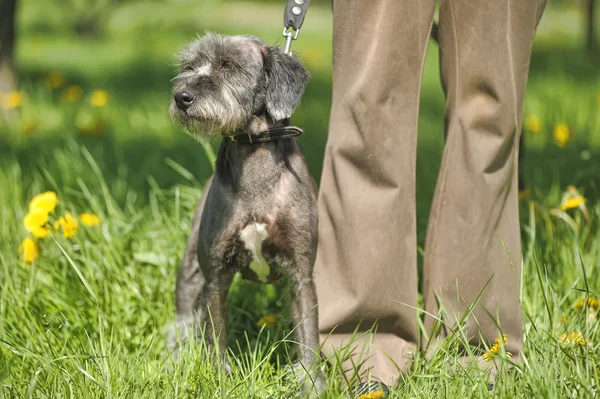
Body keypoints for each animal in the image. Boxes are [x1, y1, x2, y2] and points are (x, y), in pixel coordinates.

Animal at [164, 33, 326, 396]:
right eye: (190, 66)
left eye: (228, 65)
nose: (182, 97)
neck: (253, 150)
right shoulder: (216, 276)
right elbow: (215, 337)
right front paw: (219, 377)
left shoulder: (301, 273)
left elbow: (308, 336)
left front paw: (310, 384)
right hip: (190, 269)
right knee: (182, 321)